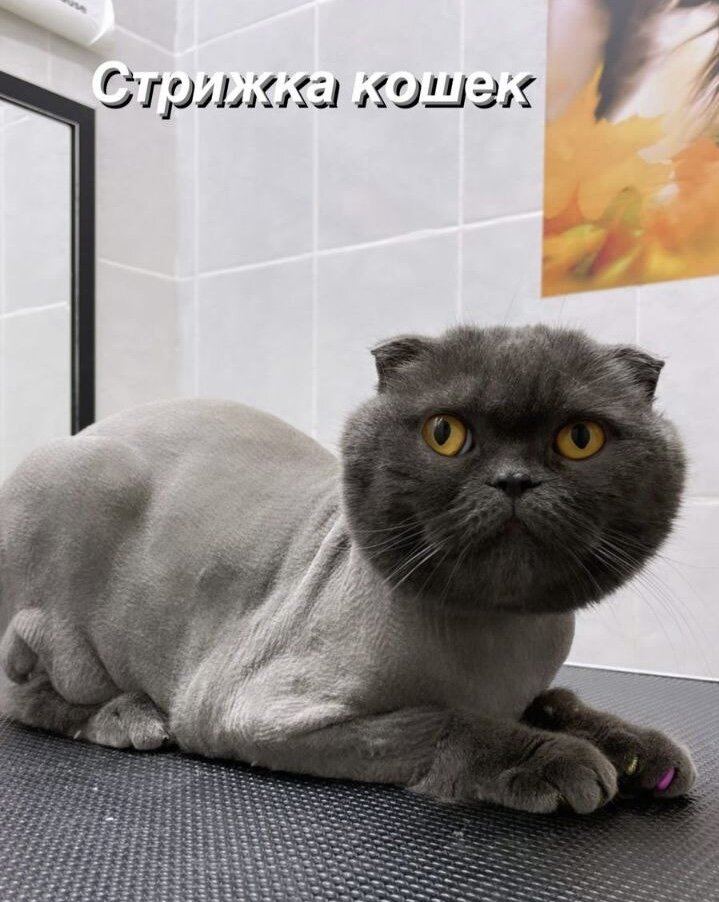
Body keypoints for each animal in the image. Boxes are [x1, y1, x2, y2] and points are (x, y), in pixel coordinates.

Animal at [0, 325, 696, 814]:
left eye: (579, 439)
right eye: (446, 433)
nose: (514, 480)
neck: (500, 648)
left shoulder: (532, 685)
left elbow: (561, 701)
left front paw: (643, 755)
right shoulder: (256, 709)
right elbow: (440, 721)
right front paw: (561, 763)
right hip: (77, 486)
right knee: (27, 696)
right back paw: (132, 718)